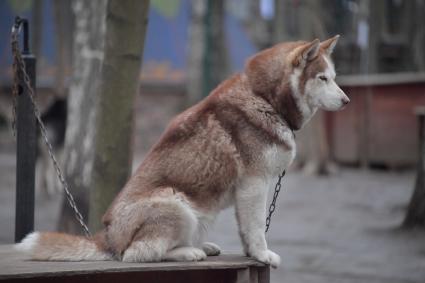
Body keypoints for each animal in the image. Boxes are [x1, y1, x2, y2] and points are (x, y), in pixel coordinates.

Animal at [16, 35, 348, 268]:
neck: (265, 98)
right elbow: (256, 229)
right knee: (139, 254)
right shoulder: (254, 184)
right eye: (322, 78)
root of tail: (107, 239)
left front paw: (251, 253)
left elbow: (246, 229)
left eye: (333, 77)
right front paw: (262, 255)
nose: (346, 101)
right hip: (176, 204)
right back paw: (189, 252)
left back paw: (201, 246)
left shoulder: (250, 189)